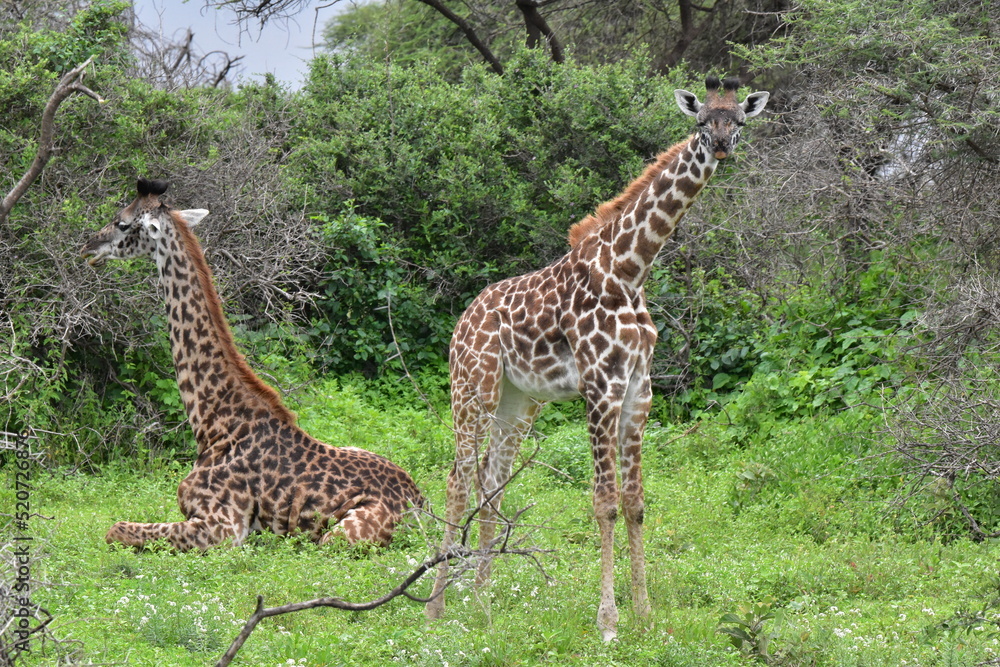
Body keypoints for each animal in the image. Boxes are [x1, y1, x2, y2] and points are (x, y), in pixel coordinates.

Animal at [80, 178, 423, 551]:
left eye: (122, 223)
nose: (88, 247)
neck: (213, 422)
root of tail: (421, 504)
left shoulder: (224, 526)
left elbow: (116, 528)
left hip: (339, 536)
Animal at [425, 76, 769, 640]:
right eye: (701, 122)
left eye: (738, 120)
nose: (721, 147)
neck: (630, 269)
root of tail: (462, 321)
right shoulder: (600, 386)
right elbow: (604, 503)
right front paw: (608, 622)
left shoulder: (638, 390)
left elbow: (635, 503)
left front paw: (645, 613)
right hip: (472, 387)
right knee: (457, 479)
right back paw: (436, 608)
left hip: (518, 403)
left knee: (492, 484)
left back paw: (482, 606)